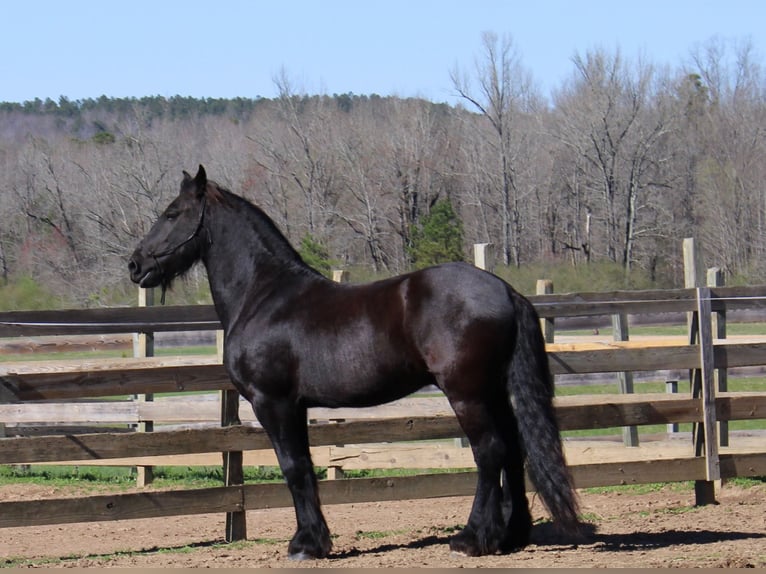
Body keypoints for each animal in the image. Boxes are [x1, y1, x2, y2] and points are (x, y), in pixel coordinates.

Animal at [127, 165, 584, 560]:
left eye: (172, 213)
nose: (135, 264)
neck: (264, 295)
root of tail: (505, 291)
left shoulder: (272, 403)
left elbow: (293, 468)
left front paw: (305, 545)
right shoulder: (295, 407)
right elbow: (306, 468)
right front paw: (315, 540)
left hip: (467, 394)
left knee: (489, 451)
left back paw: (472, 538)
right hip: (493, 391)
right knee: (514, 450)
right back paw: (512, 536)